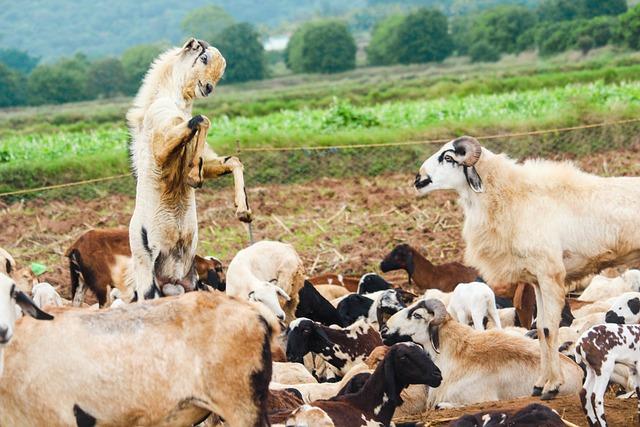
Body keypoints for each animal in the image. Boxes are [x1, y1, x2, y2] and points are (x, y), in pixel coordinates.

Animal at [126, 39, 251, 300]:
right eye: (203, 58)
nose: (208, 87)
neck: (170, 100)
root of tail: (171, 280)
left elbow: (233, 161)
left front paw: (244, 211)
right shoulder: (162, 151)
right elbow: (201, 120)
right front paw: (194, 175)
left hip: (190, 284)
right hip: (148, 284)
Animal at [412, 137, 640, 402]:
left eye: (448, 157)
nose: (418, 179)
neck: (511, 196)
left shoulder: (550, 274)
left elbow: (550, 329)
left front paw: (553, 386)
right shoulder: (538, 280)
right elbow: (540, 329)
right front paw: (540, 384)